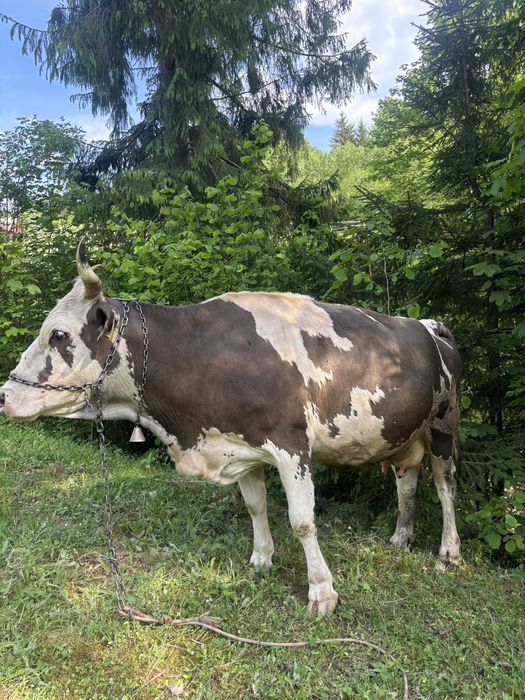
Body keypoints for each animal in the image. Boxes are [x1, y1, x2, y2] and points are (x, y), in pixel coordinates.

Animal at [0, 242, 462, 614]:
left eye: (58, 335)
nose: (4, 395)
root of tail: (427, 324)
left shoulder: (291, 445)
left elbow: (302, 520)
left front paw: (322, 591)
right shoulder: (239, 446)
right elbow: (256, 506)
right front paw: (261, 560)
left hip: (444, 424)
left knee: (444, 487)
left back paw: (449, 552)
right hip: (402, 434)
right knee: (407, 480)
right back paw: (400, 538)